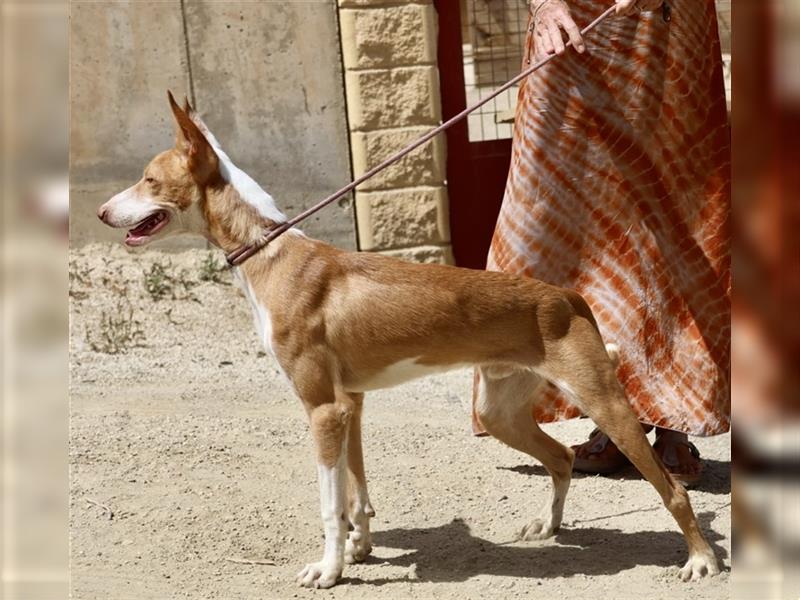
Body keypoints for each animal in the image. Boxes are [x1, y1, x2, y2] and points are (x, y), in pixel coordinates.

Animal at [97, 92, 720, 584]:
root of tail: (568, 297)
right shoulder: (349, 404)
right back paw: (549, 525)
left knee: (672, 489)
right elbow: (356, 493)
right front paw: (360, 548)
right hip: (499, 411)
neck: (271, 254)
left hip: (602, 401)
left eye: (148, 178)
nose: (102, 211)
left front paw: (329, 569)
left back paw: (701, 560)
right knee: (562, 457)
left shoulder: (322, 408)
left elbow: (329, 503)